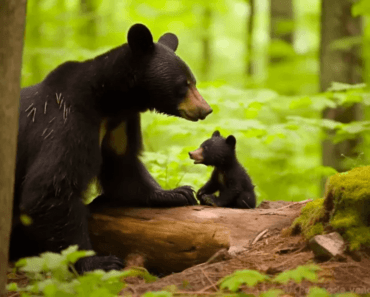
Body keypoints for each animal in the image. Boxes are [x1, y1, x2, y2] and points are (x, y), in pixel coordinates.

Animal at [10, 23, 212, 272]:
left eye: (193, 81)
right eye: (184, 84)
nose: (206, 109)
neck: (108, 102)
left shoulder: (119, 124)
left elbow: (122, 167)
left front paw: (176, 193)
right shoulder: (65, 121)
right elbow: (50, 188)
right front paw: (98, 261)